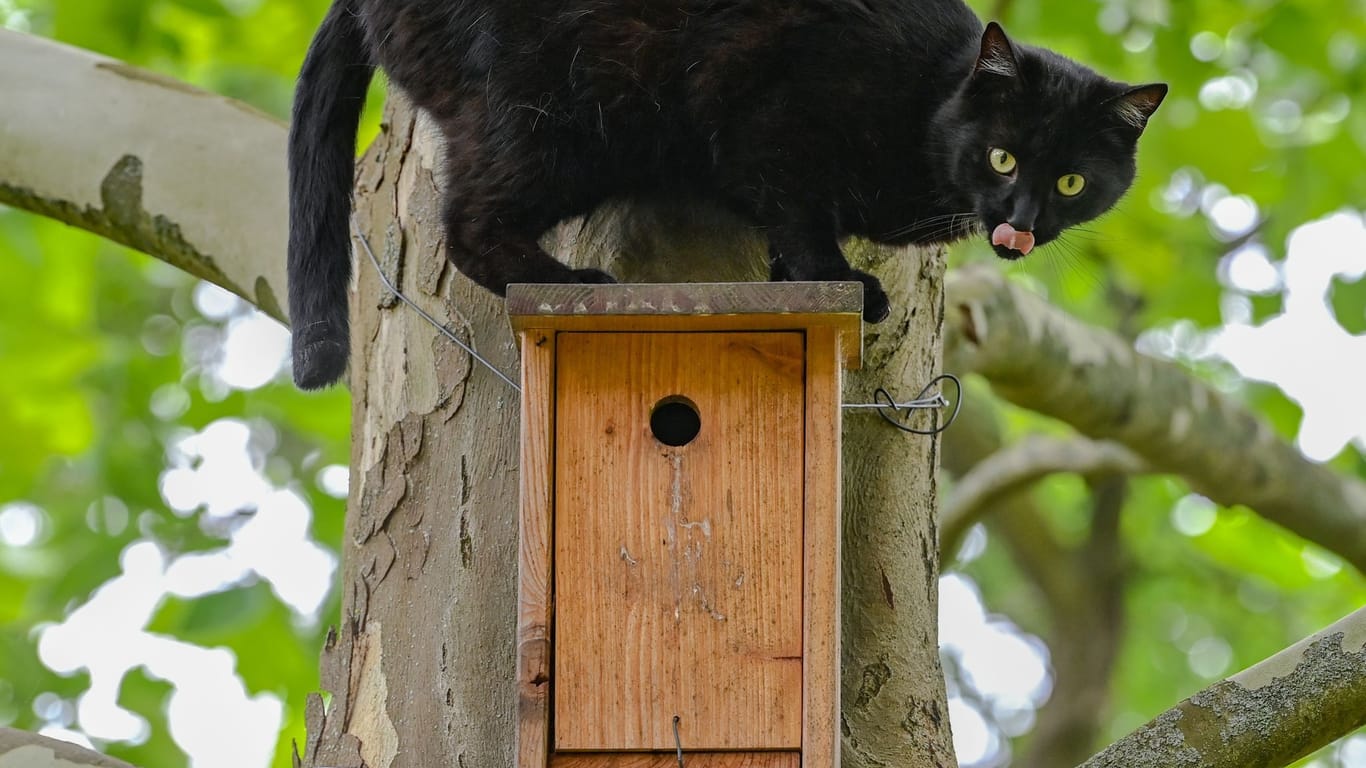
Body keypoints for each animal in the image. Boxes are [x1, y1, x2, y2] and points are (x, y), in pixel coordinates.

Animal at [288, 1, 1163, 388]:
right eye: (1004, 157)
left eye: (1073, 181)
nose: (1022, 221)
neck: (927, 96)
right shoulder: (771, 114)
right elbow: (800, 213)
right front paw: (841, 281)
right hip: (556, 121)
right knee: (468, 224)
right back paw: (570, 282)